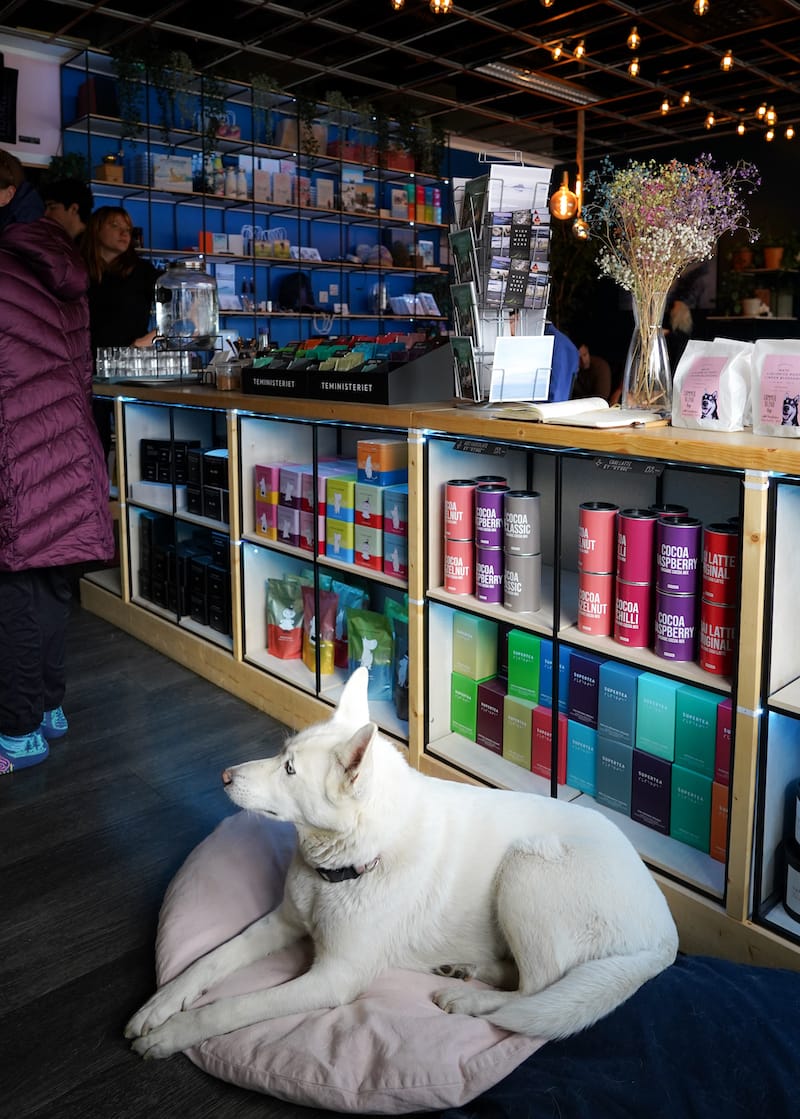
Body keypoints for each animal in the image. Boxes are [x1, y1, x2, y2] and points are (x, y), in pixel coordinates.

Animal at [128, 666, 680, 1060]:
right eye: (282, 754)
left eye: (288, 770)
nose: (223, 776)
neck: (347, 864)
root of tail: (666, 934)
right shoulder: (281, 921)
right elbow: (209, 961)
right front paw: (158, 1005)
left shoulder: (333, 979)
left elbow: (236, 1005)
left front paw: (175, 1033)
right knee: (525, 980)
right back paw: (466, 968)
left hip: (527, 869)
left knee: (540, 990)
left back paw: (472, 1000)